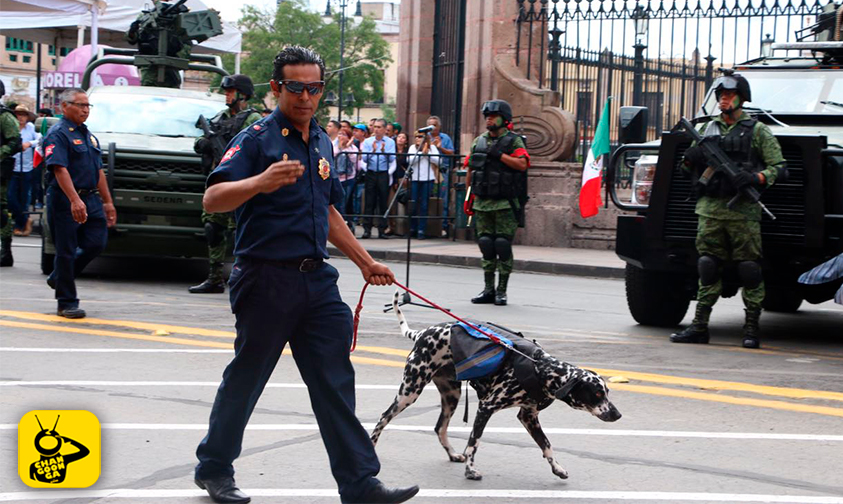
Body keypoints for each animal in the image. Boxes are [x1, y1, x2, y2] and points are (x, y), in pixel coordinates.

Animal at [372, 290, 624, 478]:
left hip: (451, 397)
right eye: (597, 394)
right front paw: (470, 470)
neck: (540, 369)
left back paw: (452, 454)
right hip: (409, 392)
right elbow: (474, 442)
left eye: (607, 392)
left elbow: (547, 445)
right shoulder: (486, 409)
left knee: (439, 427)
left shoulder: (528, 417)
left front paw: (557, 467)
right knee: (383, 418)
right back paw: (372, 447)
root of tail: (422, 333)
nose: (617, 414)